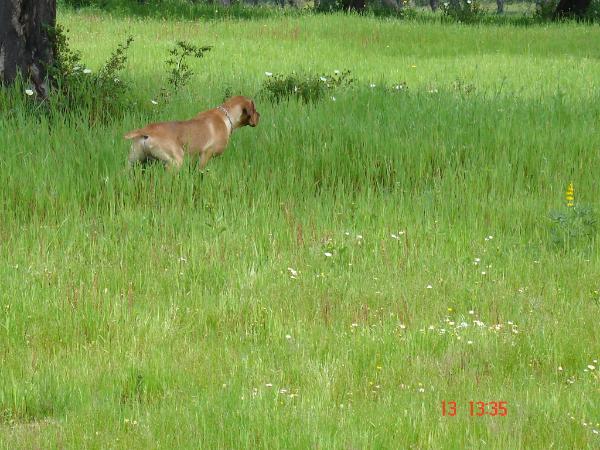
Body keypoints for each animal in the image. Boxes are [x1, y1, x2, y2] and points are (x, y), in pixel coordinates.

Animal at [125, 96, 258, 170]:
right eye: (255, 110)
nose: (259, 115)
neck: (226, 116)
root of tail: (146, 131)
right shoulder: (205, 156)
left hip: (134, 163)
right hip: (175, 162)